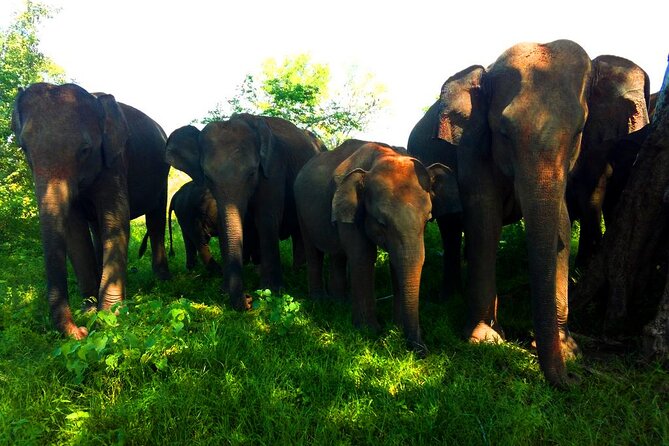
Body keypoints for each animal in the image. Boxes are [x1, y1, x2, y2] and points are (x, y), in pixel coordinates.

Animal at [11, 83, 170, 338]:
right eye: (24, 149)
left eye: (85, 150)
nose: (81, 331)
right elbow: (75, 232)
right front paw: (89, 312)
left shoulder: (115, 161)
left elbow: (116, 220)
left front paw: (110, 316)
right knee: (97, 229)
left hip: (161, 174)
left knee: (155, 220)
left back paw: (162, 280)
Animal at [167, 114, 324, 310]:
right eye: (208, 177)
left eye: (251, 173)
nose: (248, 299)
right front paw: (225, 291)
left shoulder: (273, 168)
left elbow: (266, 219)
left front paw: (270, 291)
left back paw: (297, 272)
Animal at [294, 139, 460, 356]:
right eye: (381, 223)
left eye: (427, 220)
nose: (422, 351)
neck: (381, 157)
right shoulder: (351, 208)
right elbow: (363, 256)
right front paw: (369, 331)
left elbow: (396, 260)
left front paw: (397, 327)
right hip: (300, 208)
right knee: (313, 251)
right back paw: (320, 301)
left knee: (338, 255)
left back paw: (340, 303)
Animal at [422, 39, 596, 386]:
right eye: (503, 132)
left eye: (578, 132)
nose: (574, 380)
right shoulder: (472, 146)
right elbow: (483, 219)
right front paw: (484, 340)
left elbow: (561, 222)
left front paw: (569, 350)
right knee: (451, 231)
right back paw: (449, 296)